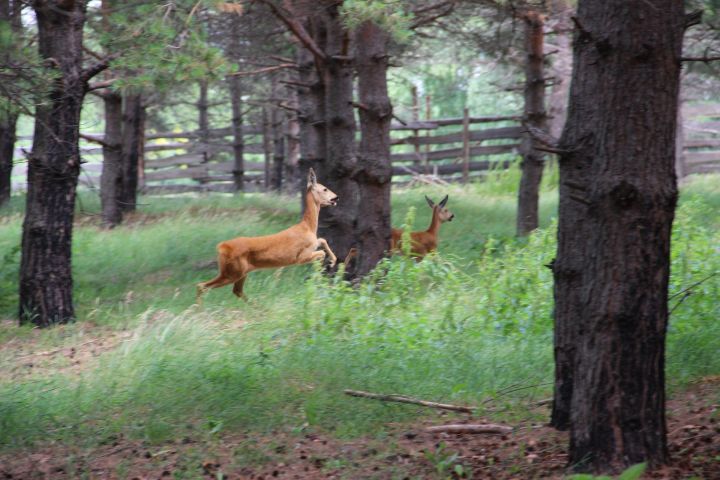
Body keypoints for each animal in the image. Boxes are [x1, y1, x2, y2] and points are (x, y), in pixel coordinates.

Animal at [197, 169, 340, 302]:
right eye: (325, 188)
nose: (336, 197)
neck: (308, 227)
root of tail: (222, 247)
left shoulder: (312, 245)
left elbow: (322, 239)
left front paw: (332, 261)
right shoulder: (300, 257)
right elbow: (321, 252)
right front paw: (324, 268)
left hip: (239, 272)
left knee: (236, 291)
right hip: (233, 272)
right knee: (202, 286)